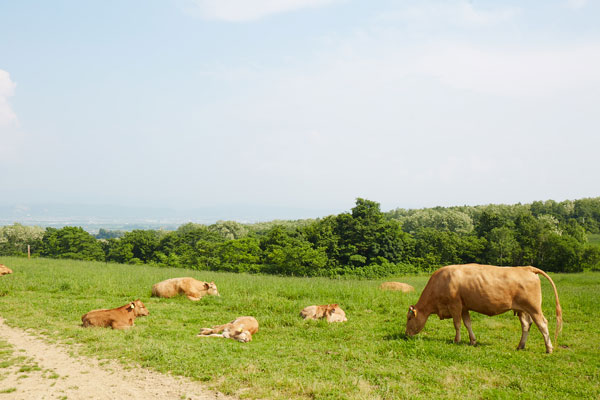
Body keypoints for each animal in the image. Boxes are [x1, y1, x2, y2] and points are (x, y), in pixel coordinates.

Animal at [404, 266, 564, 354]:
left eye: (409, 318)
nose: (406, 335)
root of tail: (527, 268)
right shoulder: (464, 307)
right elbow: (467, 323)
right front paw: (472, 341)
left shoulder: (455, 305)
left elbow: (457, 324)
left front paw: (457, 340)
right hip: (523, 310)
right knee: (526, 325)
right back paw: (520, 346)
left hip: (534, 308)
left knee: (542, 324)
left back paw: (549, 348)